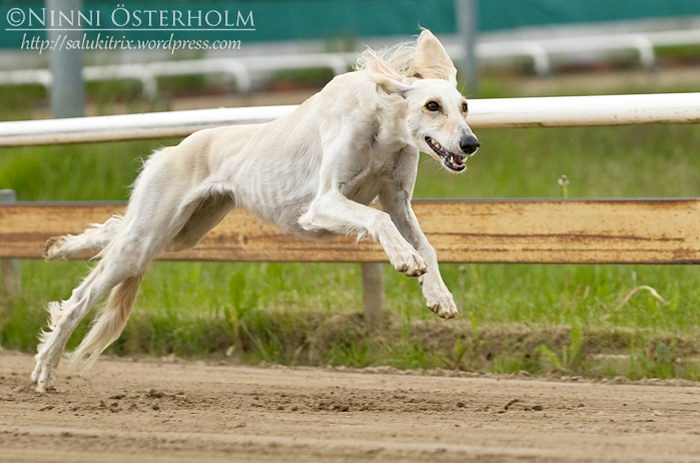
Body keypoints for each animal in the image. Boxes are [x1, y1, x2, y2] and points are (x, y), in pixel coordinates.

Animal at [34, 29, 482, 392]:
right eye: (431, 106)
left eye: (463, 107)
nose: (470, 144)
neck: (382, 126)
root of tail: (172, 150)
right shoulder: (322, 205)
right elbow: (379, 220)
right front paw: (405, 259)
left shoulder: (397, 200)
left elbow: (426, 245)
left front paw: (438, 295)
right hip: (147, 238)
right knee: (81, 297)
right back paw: (44, 369)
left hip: (182, 231)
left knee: (115, 228)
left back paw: (60, 247)